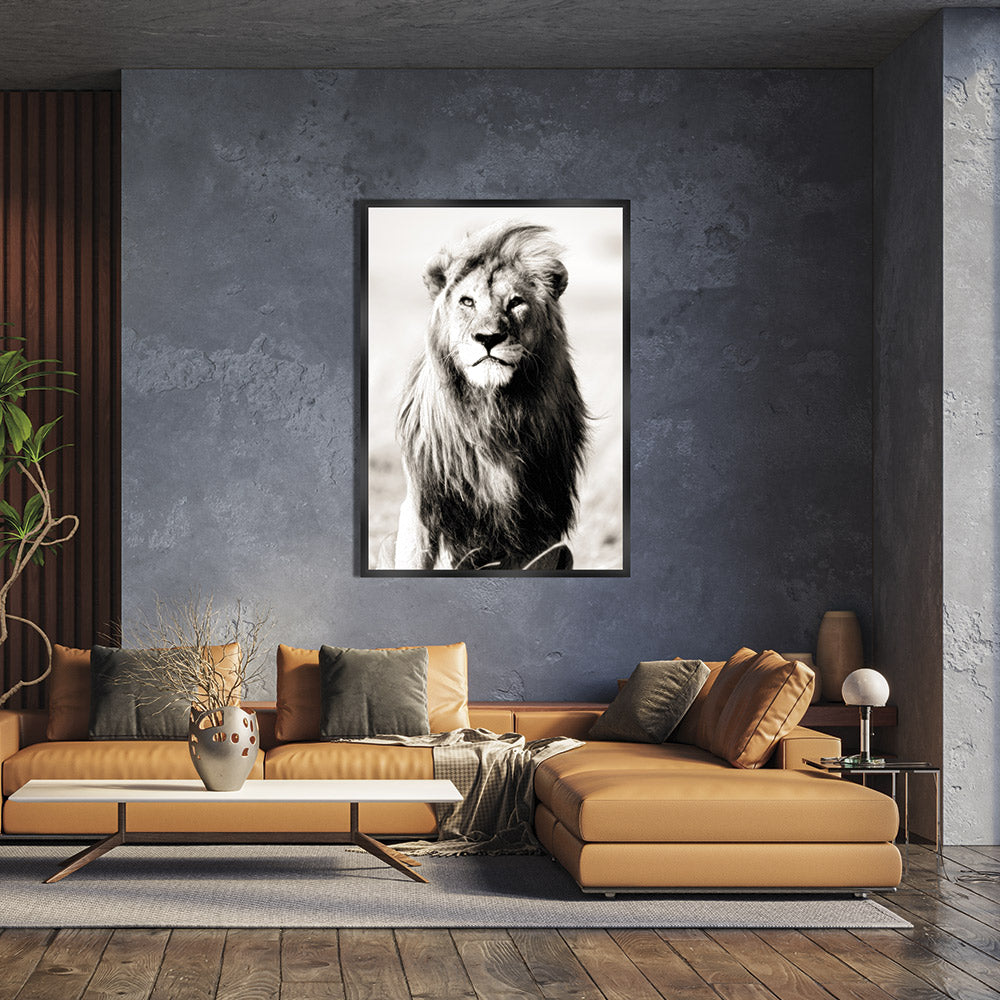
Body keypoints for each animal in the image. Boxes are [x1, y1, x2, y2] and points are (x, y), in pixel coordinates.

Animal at [390, 221, 588, 570]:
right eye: (467, 302)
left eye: (515, 303)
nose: (488, 338)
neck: (491, 413)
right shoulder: (423, 506)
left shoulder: (540, 528)